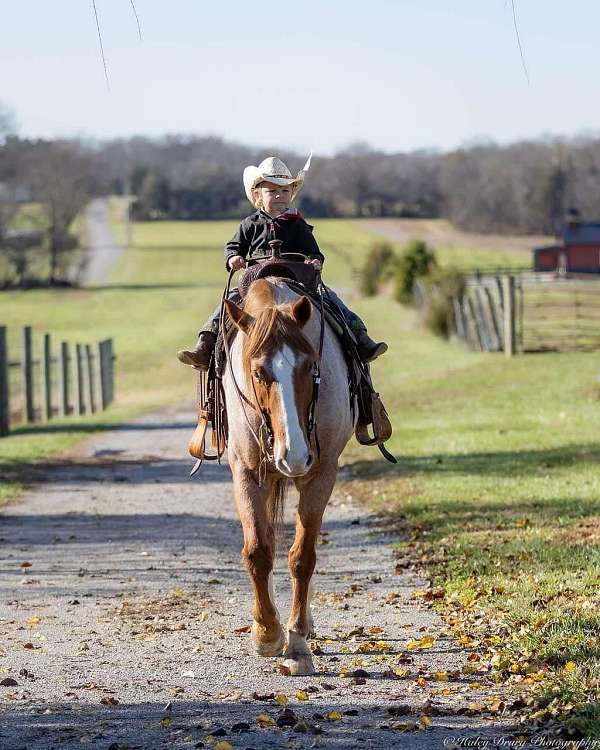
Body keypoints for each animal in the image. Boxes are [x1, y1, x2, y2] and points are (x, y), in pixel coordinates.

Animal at [221, 280, 354, 680]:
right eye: (258, 372)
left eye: (311, 367)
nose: (293, 455)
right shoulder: (247, 474)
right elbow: (258, 551)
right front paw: (266, 632)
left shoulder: (321, 475)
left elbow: (302, 558)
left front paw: (296, 645)